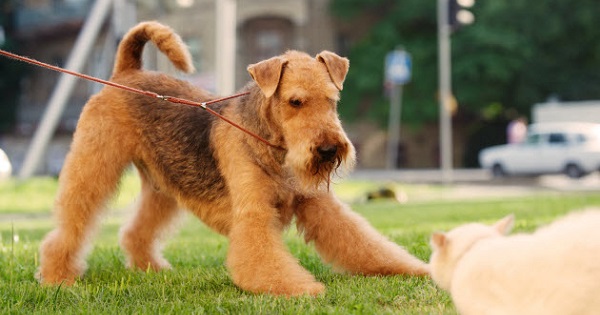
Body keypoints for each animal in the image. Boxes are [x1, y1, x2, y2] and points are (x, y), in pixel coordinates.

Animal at [37, 21, 428, 296]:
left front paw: (415, 269)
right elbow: (263, 257)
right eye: (295, 101)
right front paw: (302, 289)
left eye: (332, 100)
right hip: (93, 165)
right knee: (70, 226)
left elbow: (363, 242)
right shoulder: (254, 214)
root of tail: (126, 72)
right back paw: (58, 277)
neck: (274, 149)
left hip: (163, 185)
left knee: (137, 230)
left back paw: (151, 268)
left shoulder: (320, 205)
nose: (329, 149)